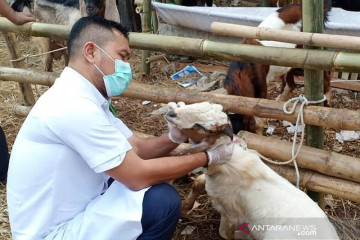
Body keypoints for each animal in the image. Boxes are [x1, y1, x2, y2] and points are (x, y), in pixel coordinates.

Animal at [167, 102, 338, 240]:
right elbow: (198, 181)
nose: (170, 114)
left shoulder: (229, 212)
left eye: (204, 127)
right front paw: (185, 208)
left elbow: (225, 234)